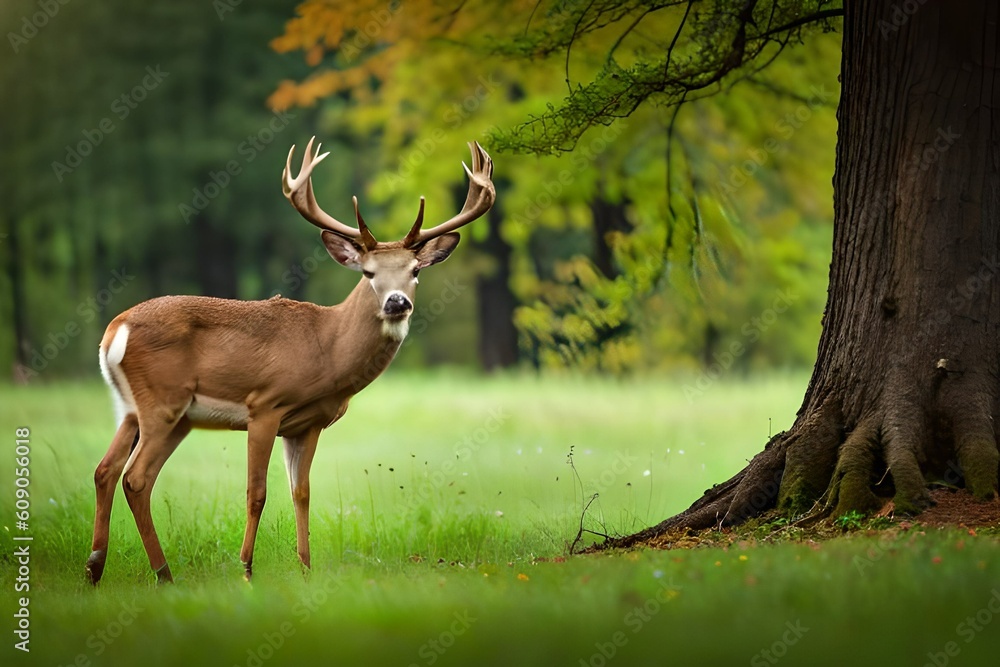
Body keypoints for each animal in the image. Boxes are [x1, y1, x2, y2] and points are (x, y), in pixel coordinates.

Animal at [85, 138, 495, 585]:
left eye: (416, 270)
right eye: (368, 273)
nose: (397, 302)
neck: (327, 347)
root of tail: (114, 331)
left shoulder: (307, 423)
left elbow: (301, 492)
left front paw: (305, 568)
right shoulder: (264, 404)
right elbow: (256, 492)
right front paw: (246, 570)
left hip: (143, 411)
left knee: (106, 470)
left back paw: (95, 569)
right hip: (164, 401)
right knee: (136, 477)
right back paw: (162, 574)